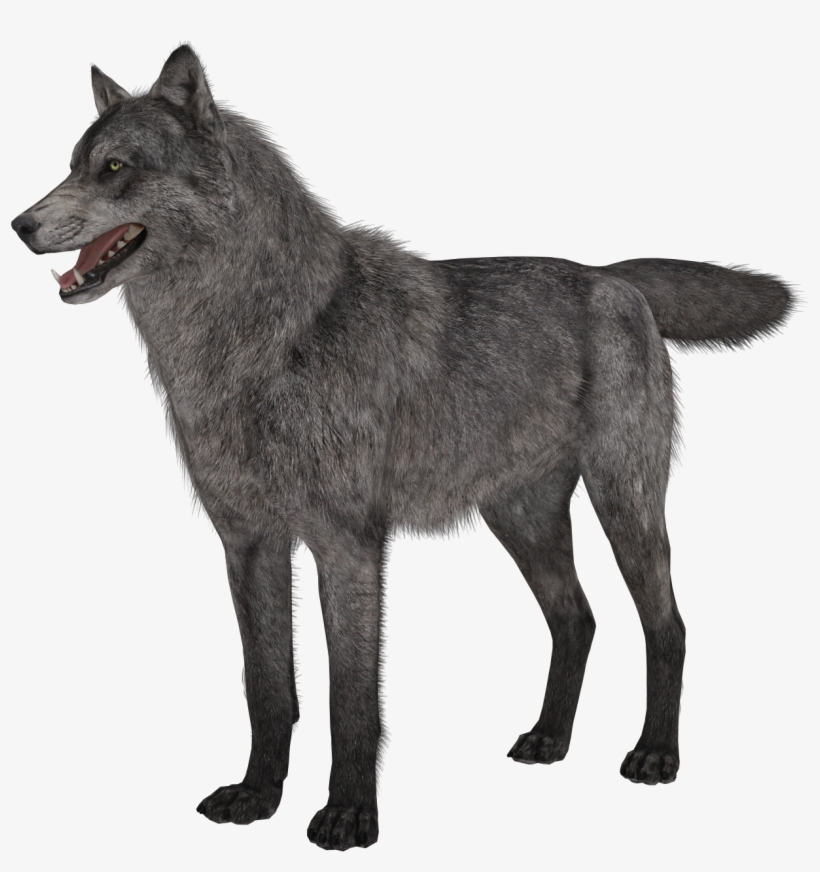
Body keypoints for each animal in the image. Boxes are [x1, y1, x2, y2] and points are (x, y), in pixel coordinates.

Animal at [11, 45, 793, 850]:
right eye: (73, 165)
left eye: (114, 167)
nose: (20, 224)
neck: (266, 342)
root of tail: (613, 279)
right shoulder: (249, 544)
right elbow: (268, 689)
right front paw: (258, 796)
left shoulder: (348, 544)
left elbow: (349, 700)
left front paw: (349, 816)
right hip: (522, 523)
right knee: (576, 618)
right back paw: (549, 740)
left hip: (624, 507)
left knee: (667, 626)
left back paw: (655, 754)